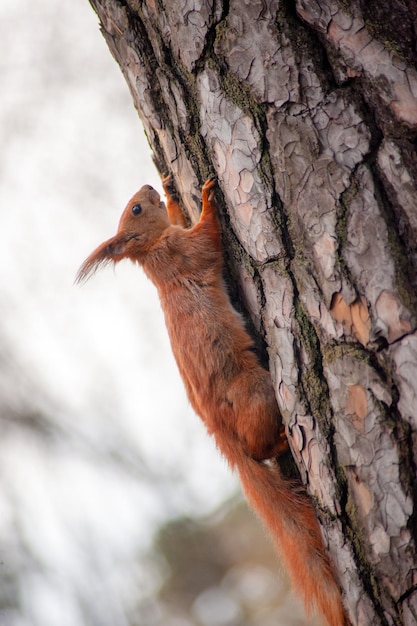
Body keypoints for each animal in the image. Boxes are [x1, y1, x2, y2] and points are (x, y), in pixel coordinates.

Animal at [76, 176, 346, 624]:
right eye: (136, 209)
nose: (148, 185)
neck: (153, 251)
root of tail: (221, 433)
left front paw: (172, 192)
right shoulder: (186, 250)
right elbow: (206, 235)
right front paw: (204, 199)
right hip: (257, 391)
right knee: (257, 446)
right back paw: (282, 440)